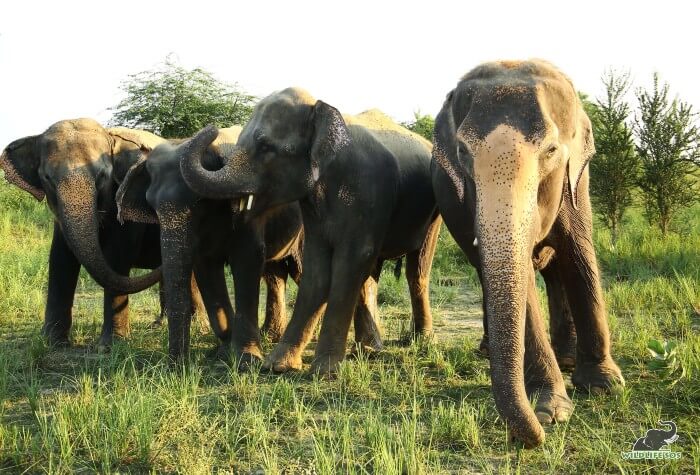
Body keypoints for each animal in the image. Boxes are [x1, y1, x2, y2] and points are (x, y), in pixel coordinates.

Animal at [116, 126, 304, 364]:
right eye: (152, 206)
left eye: (200, 202)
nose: (177, 366)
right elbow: (206, 268)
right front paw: (222, 353)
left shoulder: (247, 211)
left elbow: (246, 260)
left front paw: (247, 360)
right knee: (274, 275)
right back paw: (271, 336)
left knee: (300, 270)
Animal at [178, 87, 440, 374]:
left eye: (265, 146)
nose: (212, 130)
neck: (322, 108)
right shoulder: (314, 215)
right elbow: (317, 271)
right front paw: (277, 365)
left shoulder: (367, 193)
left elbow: (349, 263)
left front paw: (324, 371)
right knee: (371, 274)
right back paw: (368, 350)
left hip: (434, 212)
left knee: (416, 270)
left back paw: (421, 340)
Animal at [432, 60, 624, 450]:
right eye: (462, 153)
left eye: (550, 150)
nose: (537, 435)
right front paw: (551, 409)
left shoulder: (576, 181)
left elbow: (579, 255)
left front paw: (604, 385)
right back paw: (492, 352)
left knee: (556, 270)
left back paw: (566, 359)